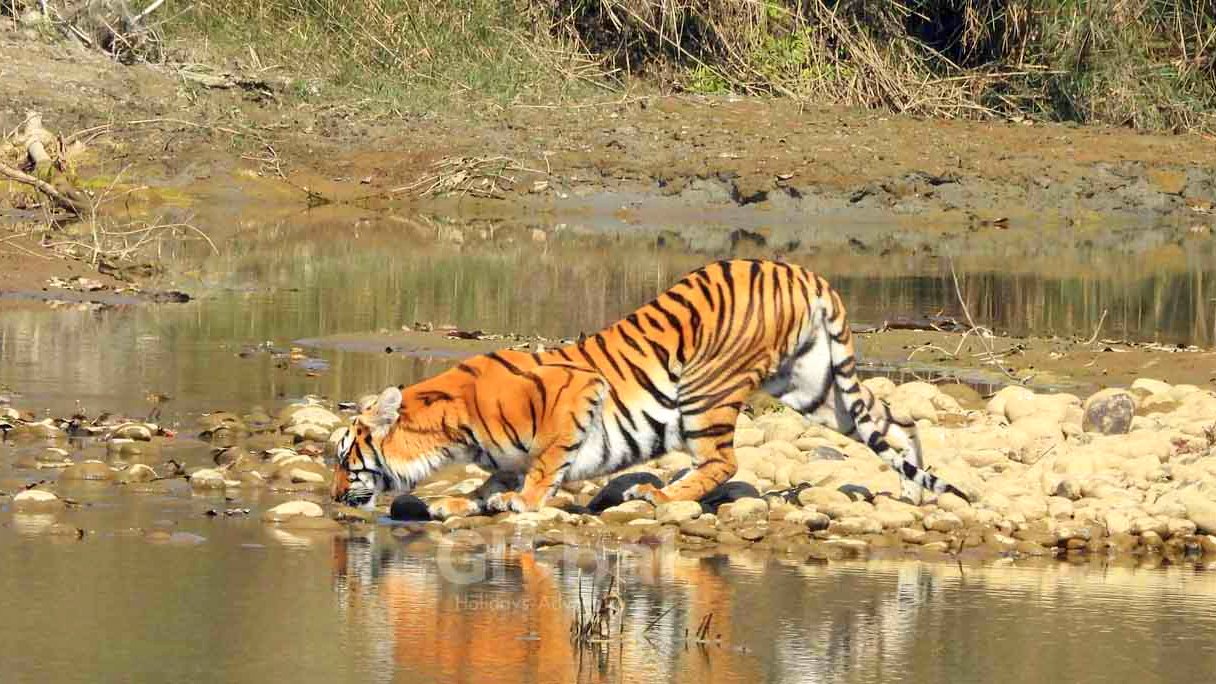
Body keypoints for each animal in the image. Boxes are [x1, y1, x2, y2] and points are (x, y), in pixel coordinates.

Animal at [332, 258, 970, 518]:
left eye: (344, 458)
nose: (335, 498)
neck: (447, 430)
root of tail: (801, 271)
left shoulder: (573, 394)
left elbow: (545, 462)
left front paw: (523, 503)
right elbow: (497, 475)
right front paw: (467, 499)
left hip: (706, 390)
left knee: (724, 462)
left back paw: (659, 497)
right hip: (814, 387)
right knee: (898, 423)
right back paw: (916, 495)